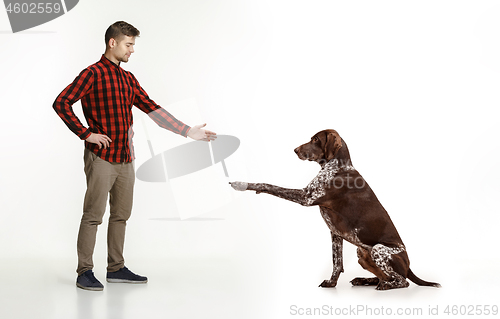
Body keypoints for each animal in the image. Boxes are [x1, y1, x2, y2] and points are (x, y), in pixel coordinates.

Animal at [229, 129, 440, 292]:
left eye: (316, 140)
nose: (295, 150)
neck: (338, 165)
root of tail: (409, 266)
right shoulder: (335, 234)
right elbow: (337, 262)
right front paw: (332, 283)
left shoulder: (306, 197)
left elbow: (269, 185)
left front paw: (243, 184)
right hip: (362, 254)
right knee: (386, 276)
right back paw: (365, 280)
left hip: (379, 249)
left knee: (401, 281)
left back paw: (386, 285)